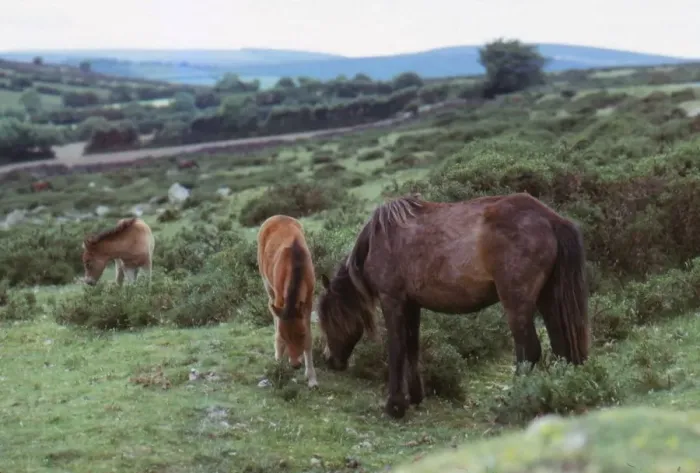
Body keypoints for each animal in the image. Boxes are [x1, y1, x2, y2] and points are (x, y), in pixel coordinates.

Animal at [257, 215, 318, 388]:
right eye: (285, 337)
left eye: (301, 334)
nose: (295, 365)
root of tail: (275, 217)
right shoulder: (279, 296)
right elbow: (278, 324)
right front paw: (279, 362)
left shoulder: (309, 299)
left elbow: (310, 338)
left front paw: (312, 379)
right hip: (266, 282)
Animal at [317, 192, 590, 419]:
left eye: (327, 318)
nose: (330, 361)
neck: (379, 239)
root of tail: (550, 219)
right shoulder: (412, 304)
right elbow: (412, 347)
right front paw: (415, 396)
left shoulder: (391, 299)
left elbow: (396, 349)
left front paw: (395, 405)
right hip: (548, 299)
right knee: (560, 348)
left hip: (518, 304)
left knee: (529, 351)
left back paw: (513, 401)